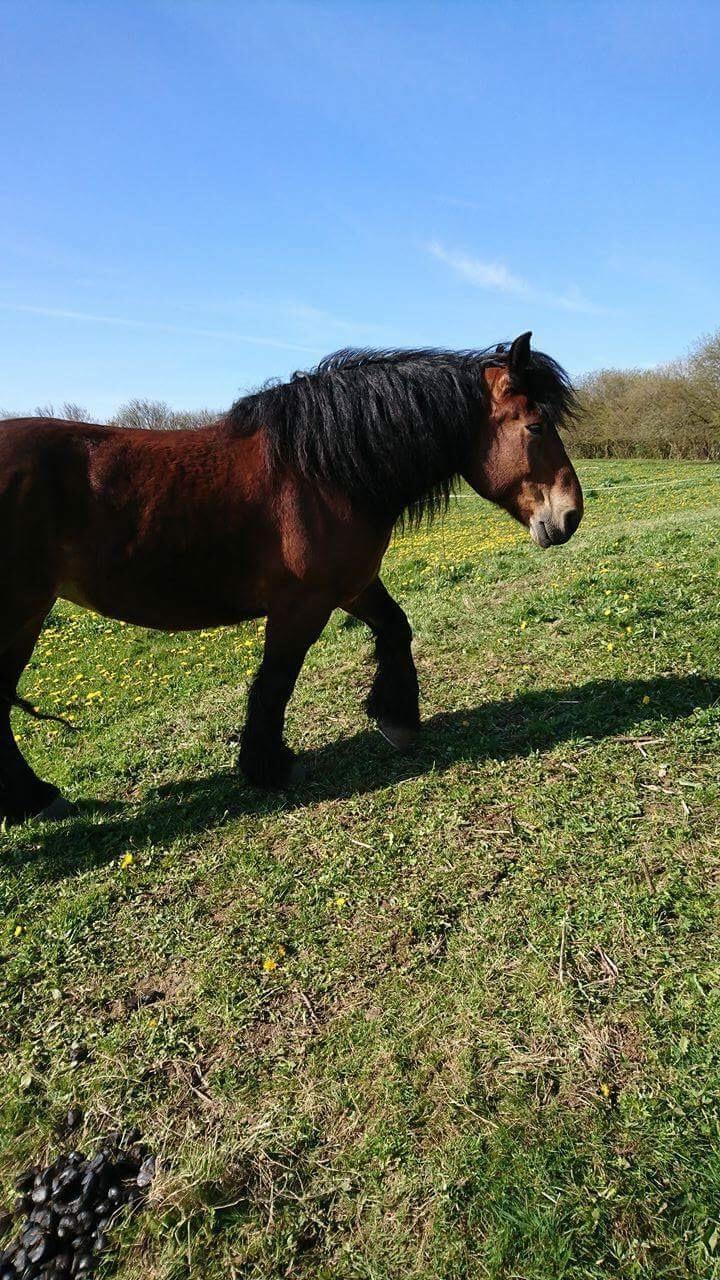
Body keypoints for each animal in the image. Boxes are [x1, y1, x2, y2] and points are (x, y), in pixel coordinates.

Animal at [0, 330, 579, 824]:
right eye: (535, 426)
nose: (570, 515)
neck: (321, 470)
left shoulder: (352, 586)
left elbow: (395, 629)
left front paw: (396, 720)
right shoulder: (302, 604)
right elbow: (276, 679)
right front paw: (267, 766)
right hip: (21, 611)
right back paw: (37, 799)